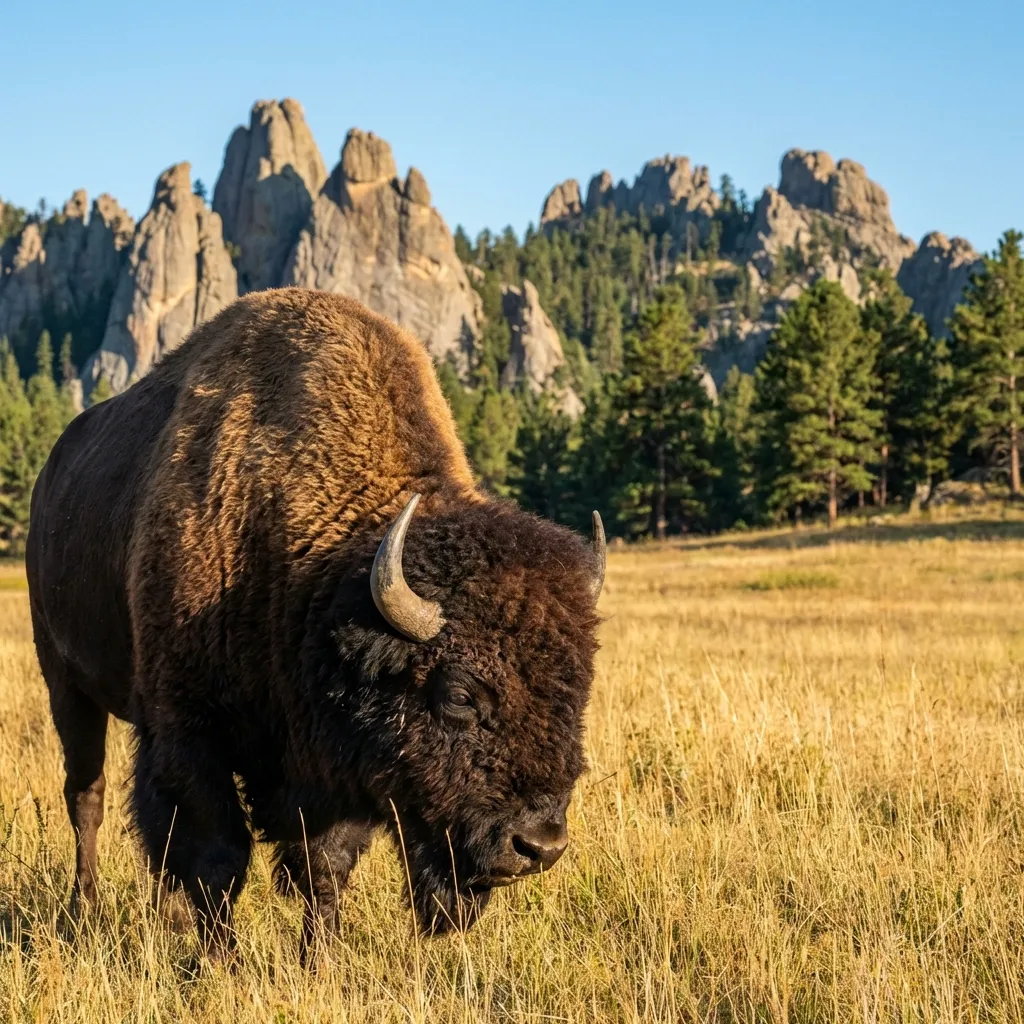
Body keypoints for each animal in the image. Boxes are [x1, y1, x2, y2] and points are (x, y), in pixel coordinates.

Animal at [26, 288, 604, 959]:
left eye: (577, 689)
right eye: (458, 695)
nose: (538, 846)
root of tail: (50, 475)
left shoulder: (333, 759)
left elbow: (323, 865)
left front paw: (318, 957)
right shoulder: (189, 729)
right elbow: (217, 855)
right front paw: (218, 960)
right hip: (65, 683)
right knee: (87, 799)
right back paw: (84, 908)